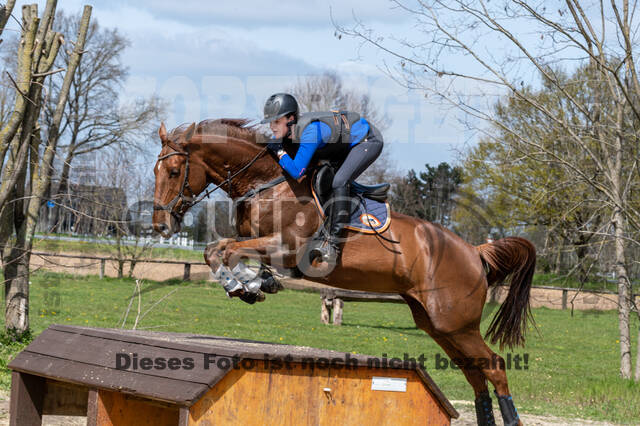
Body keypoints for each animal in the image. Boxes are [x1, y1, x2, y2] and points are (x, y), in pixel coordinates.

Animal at [154, 118, 536, 424]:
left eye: (173, 172)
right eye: (156, 172)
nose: (160, 225)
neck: (267, 182)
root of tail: (474, 251)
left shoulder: (285, 246)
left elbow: (225, 250)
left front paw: (242, 287)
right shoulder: (259, 241)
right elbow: (218, 251)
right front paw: (251, 285)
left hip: (456, 323)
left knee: (495, 368)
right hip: (440, 326)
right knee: (476, 375)